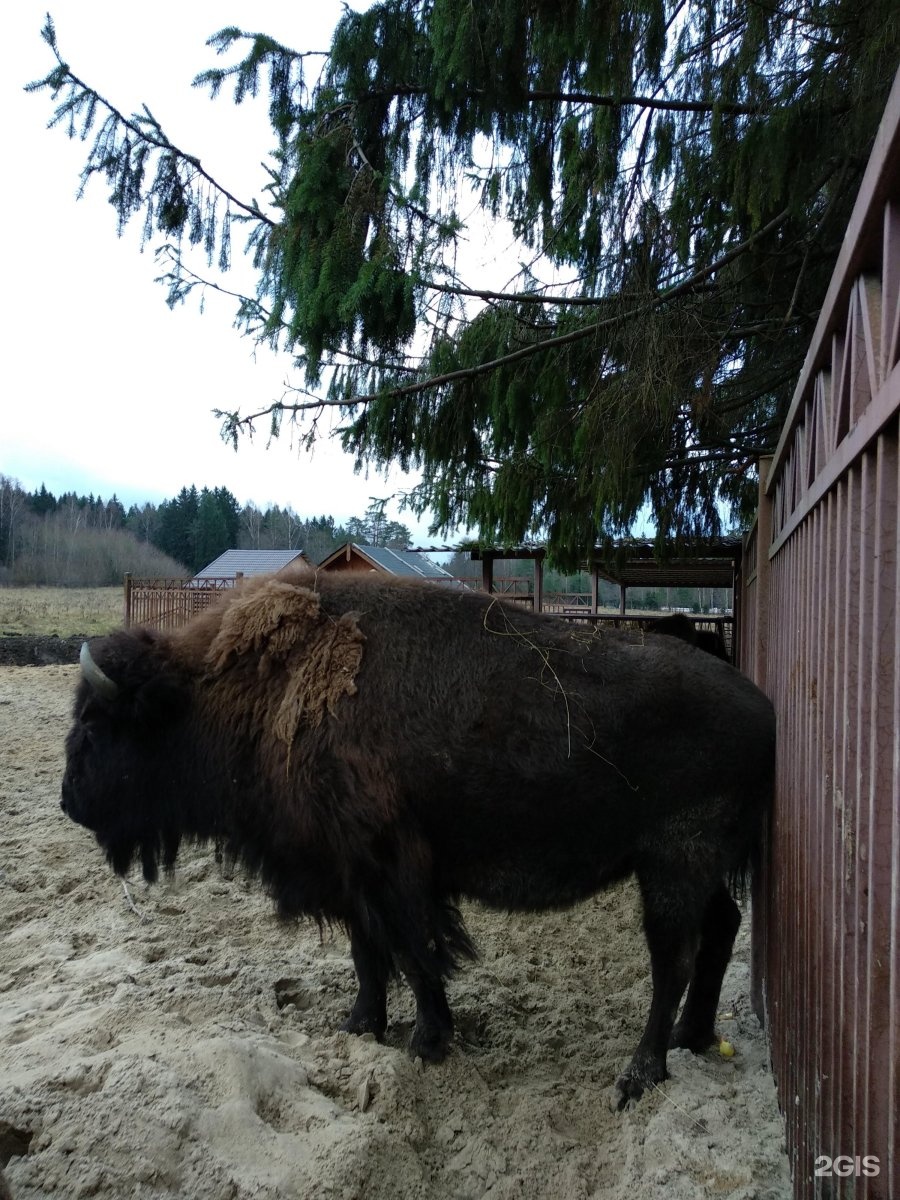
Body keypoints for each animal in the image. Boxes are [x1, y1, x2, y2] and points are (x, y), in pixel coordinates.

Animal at [60, 571, 777, 1104]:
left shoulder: (390, 871)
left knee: (673, 958)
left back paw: (639, 1074)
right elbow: (368, 956)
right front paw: (361, 1027)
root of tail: (763, 709)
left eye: (96, 725)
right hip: (698, 869)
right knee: (721, 928)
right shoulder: (349, 876)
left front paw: (427, 1042)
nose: (68, 802)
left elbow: (414, 954)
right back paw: (690, 1037)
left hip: (673, 868)